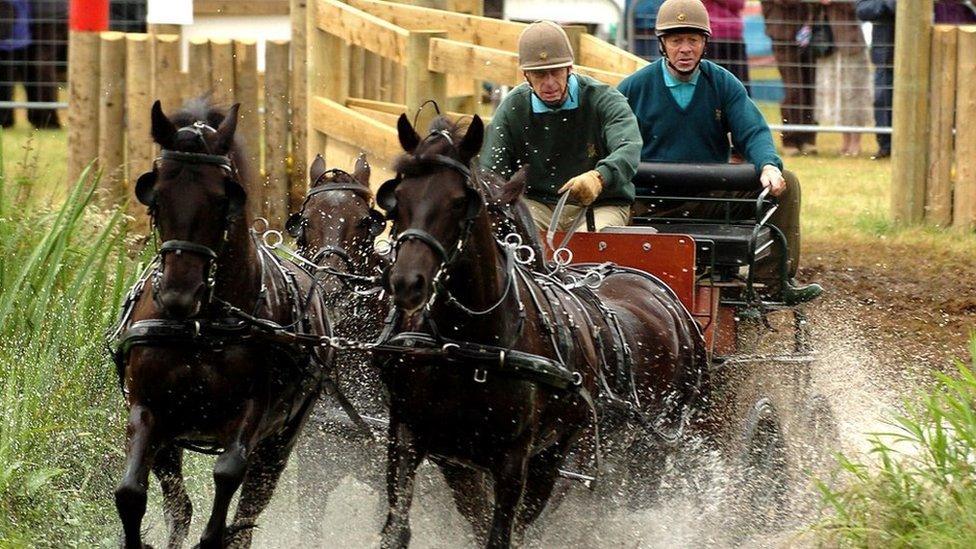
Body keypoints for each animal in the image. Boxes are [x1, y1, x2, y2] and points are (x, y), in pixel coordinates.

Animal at [109, 100, 332, 544]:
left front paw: (216, 536)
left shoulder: (252, 413)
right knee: (180, 507)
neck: (201, 328)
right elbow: (131, 493)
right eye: (156, 196)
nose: (178, 295)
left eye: (220, 199)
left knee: (251, 501)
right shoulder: (148, 409)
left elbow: (228, 476)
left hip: (282, 438)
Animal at [376, 113, 708, 544]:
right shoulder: (417, 438)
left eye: (460, 201)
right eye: (397, 198)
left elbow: (503, 532)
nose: (406, 282)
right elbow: (403, 525)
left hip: (635, 447)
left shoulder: (517, 457)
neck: (467, 343)